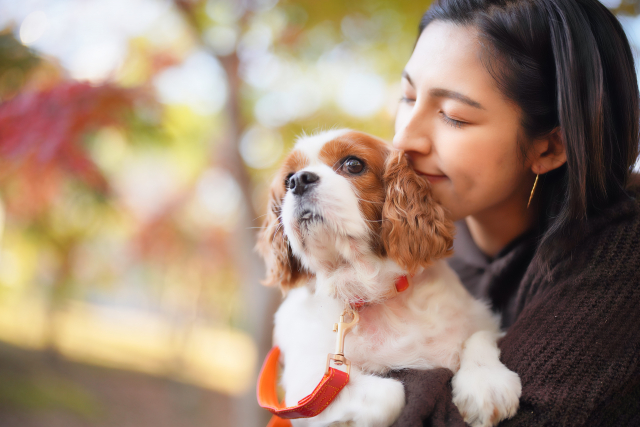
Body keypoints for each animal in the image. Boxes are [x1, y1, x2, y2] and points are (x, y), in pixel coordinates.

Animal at [256, 130, 520, 427]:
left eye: (353, 164)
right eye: (288, 179)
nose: (299, 181)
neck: (366, 286)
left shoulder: (480, 319)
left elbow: (479, 336)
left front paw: (487, 382)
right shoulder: (306, 386)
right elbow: (390, 396)